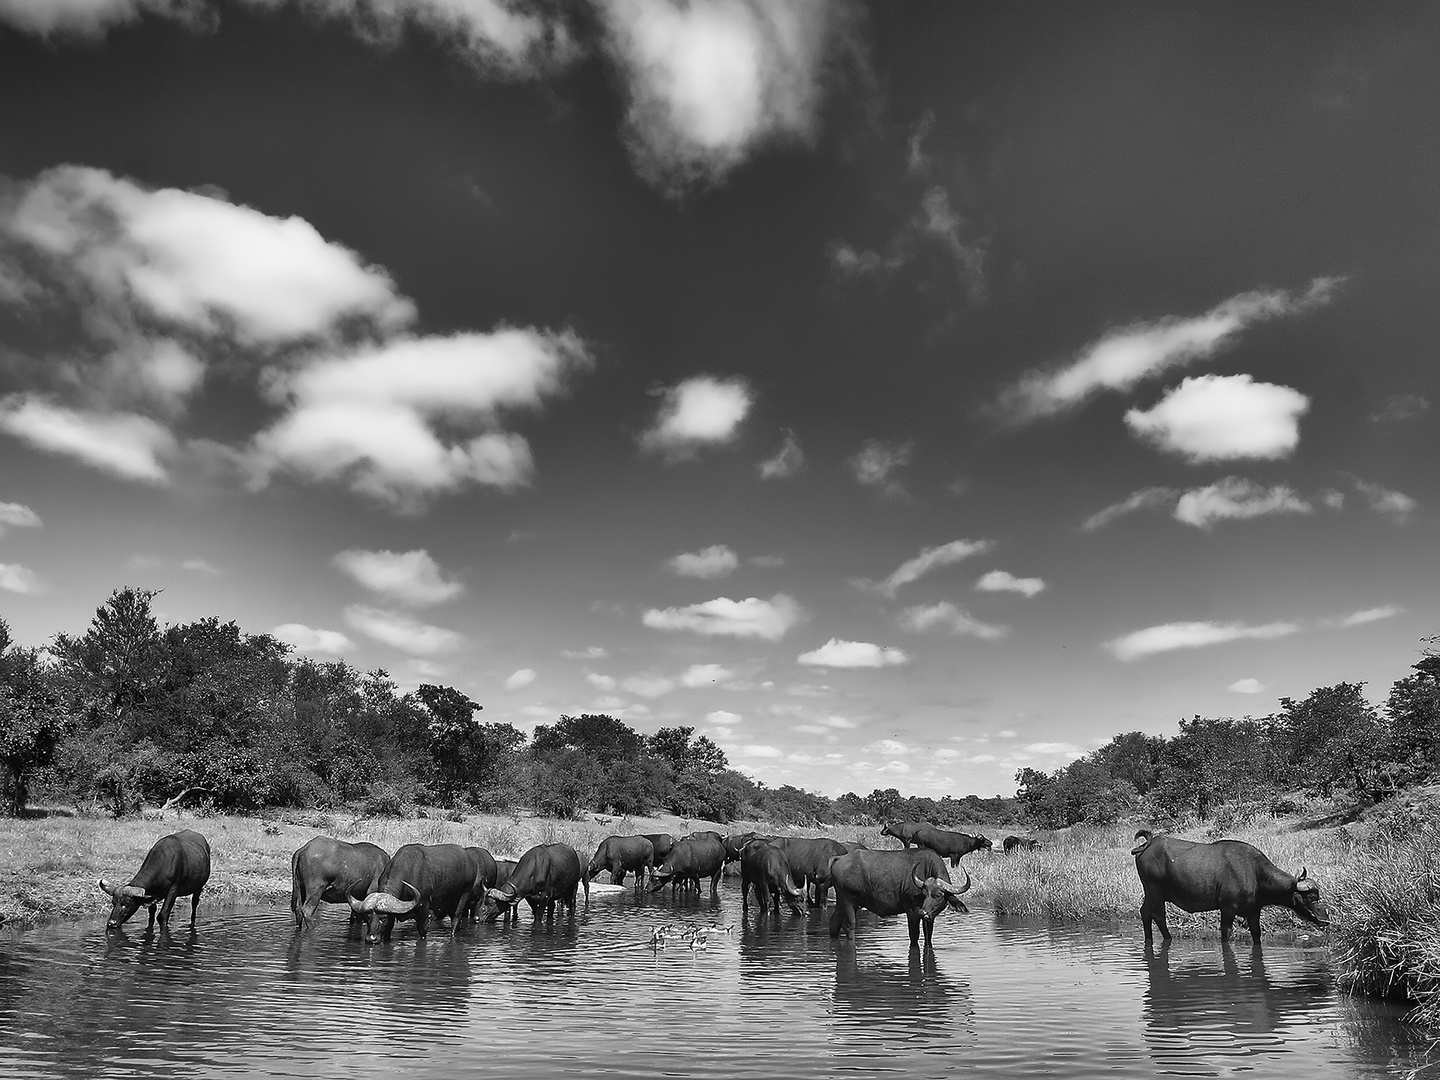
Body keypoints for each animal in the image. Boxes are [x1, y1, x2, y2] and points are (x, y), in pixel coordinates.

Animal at [829, 846, 973, 944]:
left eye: (938, 895)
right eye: (924, 894)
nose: (924, 912)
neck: (926, 868)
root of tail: (840, 858)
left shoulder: (930, 917)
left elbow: (928, 936)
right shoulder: (912, 912)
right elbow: (914, 935)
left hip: (841, 900)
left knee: (834, 922)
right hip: (849, 901)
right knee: (849, 926)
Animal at [1128, 835, 1330, 944]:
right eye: (1311, 897)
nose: (1326, 920)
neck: (1254, 873)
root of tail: (1147, 845)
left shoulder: (1253, 912)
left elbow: (1256, 933)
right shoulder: (1227, 908)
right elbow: (1226, 933)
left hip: (1150, 892)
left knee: (1145, 912)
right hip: (1155, 890)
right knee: (1158, 916)